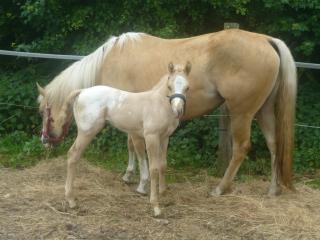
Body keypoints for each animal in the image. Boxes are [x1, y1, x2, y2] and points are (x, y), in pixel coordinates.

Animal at [38, 29, 298, 199]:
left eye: (44, 111)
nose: (44, 140)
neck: (109, 60)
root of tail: (266, 40)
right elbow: (131, 145)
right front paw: (129, 175)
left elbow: (138, 149)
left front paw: (142, 184)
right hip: (264, 110)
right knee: (274, 145)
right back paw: (273, 189)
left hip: (241, 113)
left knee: (241, 148)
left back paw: (220, 188)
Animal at [42, 62, 191, 216]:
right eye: (169, 86)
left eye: (187, 87)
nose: (178, 110)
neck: (158, 104)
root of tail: (82, 91)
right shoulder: (151, 137)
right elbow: (154, 168)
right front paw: (155, 205)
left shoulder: (165, 138)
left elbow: (163, 165)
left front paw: (163, 192)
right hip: (86, 132)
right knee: (73, 155)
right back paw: (71, 200)